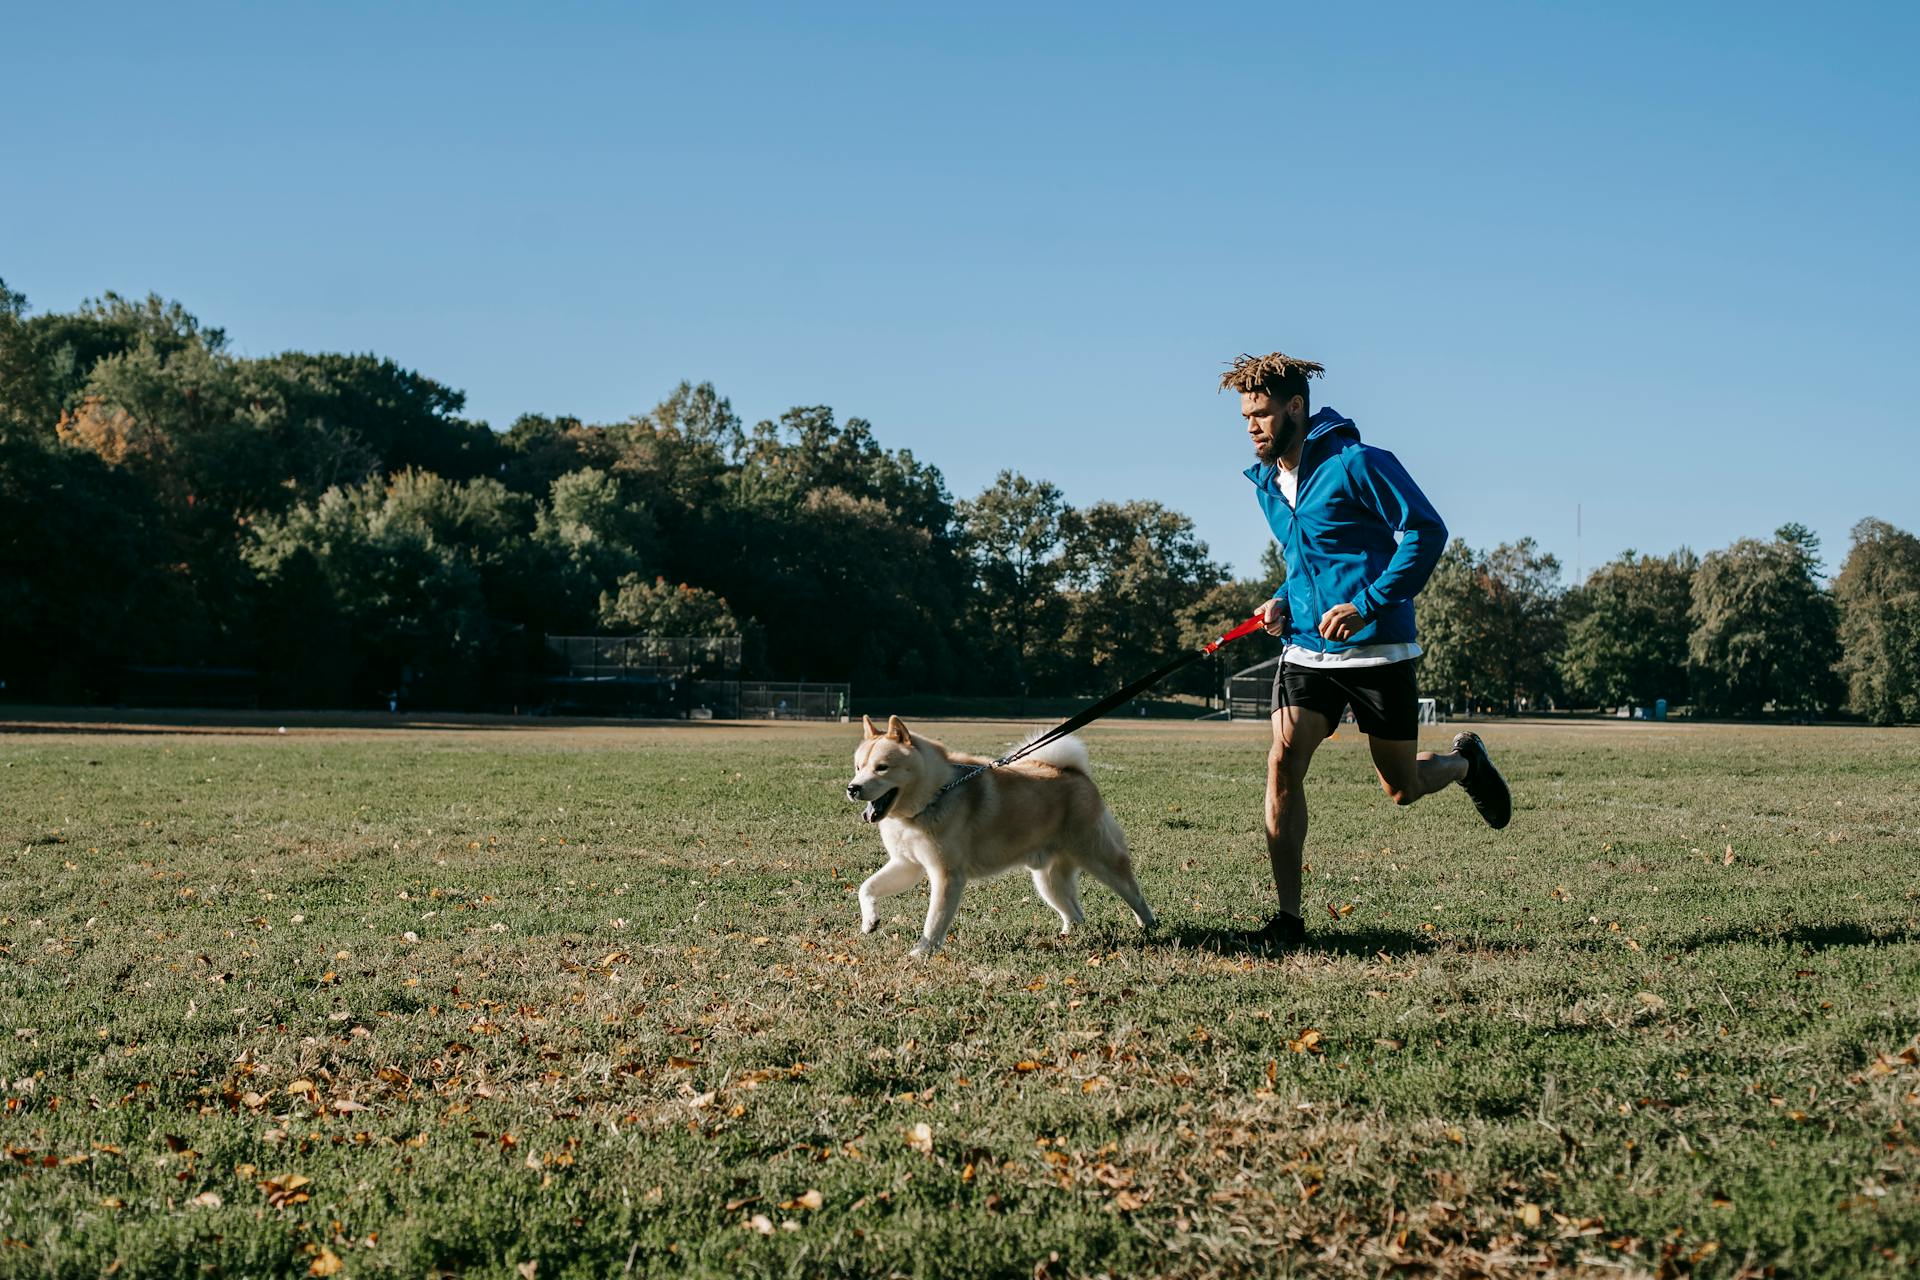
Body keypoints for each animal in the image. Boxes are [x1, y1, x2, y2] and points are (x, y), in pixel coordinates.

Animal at [844, 717, 1152, 955]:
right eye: (859, 767)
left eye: (882, 767)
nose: (852, 788)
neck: (934, 794)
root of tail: (1076, 773)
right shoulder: (907, 865)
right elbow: (866, 888)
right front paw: (870, 921)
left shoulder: (946, 875)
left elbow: (934, 921)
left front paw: (921, 953)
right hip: (1048, 880)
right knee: (1076, 915)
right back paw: (1066, 938)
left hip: (1098, 858)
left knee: (1133, 891)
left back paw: (1149, 926)